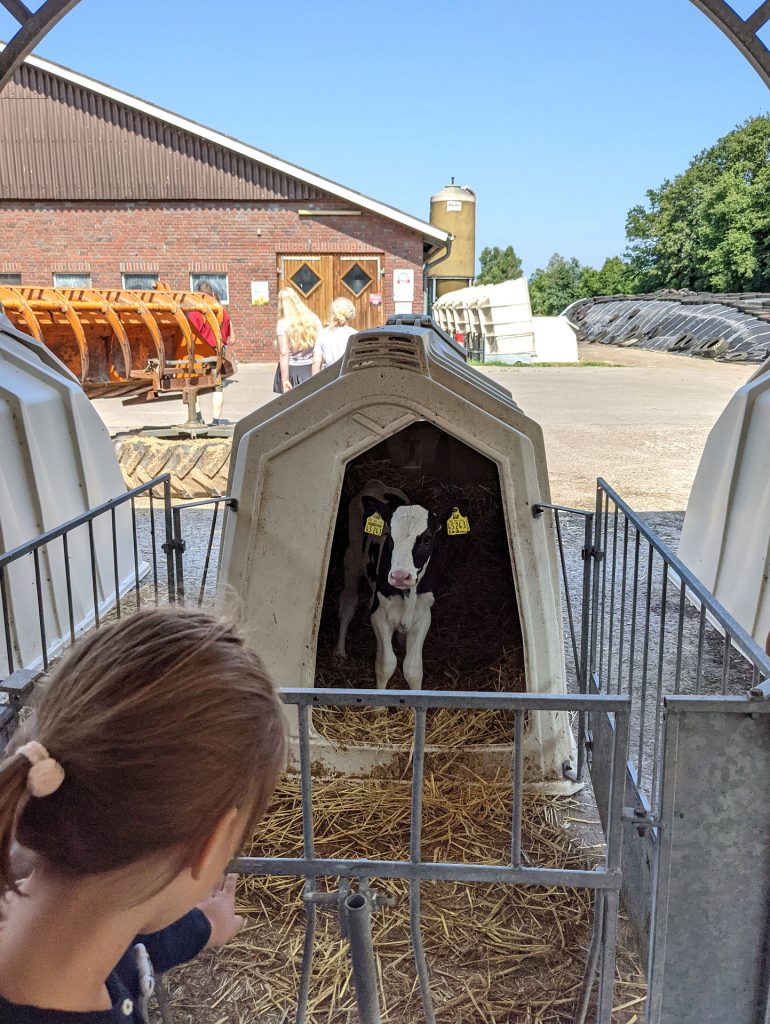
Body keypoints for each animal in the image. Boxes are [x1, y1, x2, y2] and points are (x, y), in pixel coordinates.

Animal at [335, 479, 442, 688]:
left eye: (427, 539)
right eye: (390, 537)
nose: (400, 576)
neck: (407, 594)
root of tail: (376, 484)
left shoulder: (424, 614)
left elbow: (413, 668)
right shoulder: (379, 615)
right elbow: (386, 664)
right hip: (352, 559)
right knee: (348, 602)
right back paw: (340, 652)